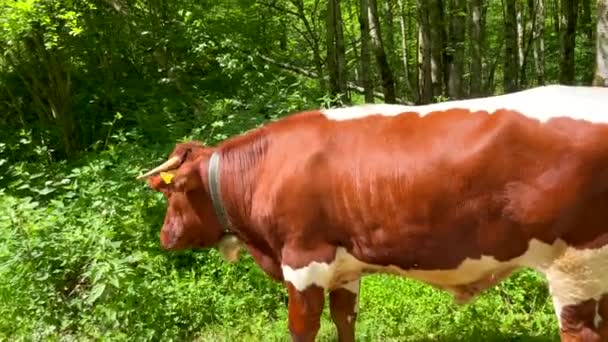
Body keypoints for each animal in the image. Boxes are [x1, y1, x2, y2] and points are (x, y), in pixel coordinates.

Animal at [138, 83, 608, 342]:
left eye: (172, 194)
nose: (165, 237)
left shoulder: (303, 261)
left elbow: (302, 328)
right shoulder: (344, 268)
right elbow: (344, 321)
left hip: (576, 262)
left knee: (581, 332)